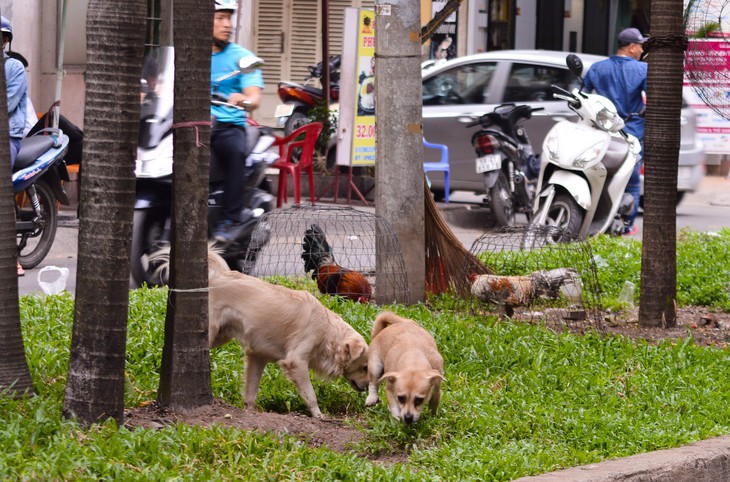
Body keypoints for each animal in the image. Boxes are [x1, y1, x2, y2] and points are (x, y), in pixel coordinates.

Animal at [206, 250, 370, 416]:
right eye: (365, 367)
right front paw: (318, 415)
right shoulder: (296, 362)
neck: (328, 331)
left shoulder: (257, 356)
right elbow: (311, 394)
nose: (367, 389)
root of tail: (217, 276)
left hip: (222, 336)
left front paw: (250, 412)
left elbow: (251, 391)